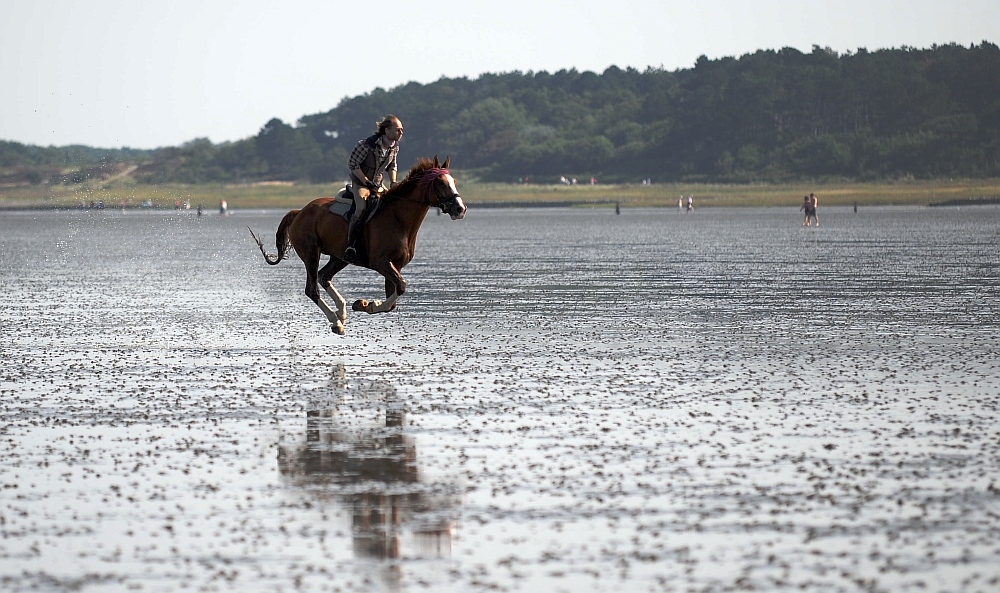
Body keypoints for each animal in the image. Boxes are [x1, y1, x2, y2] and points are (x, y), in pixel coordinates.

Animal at [250, 156, 468, 332]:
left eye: (454, 182)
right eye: (440, 183)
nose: (460, 209)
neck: (398, 218)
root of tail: (299, 212)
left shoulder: (395, 266)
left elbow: (393, 299)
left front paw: (363, 304)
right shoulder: (381, 263)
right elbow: (401, 287)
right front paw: (368, 305)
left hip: (339, 257)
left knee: (324, 276)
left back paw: (342, 310)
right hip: (311, 253)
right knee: (312, 288)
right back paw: (336, 321)